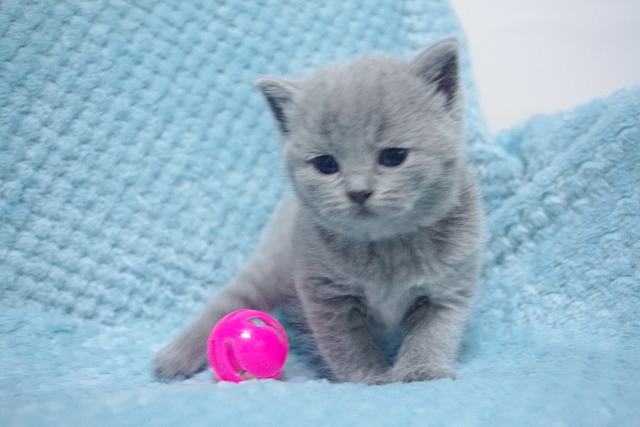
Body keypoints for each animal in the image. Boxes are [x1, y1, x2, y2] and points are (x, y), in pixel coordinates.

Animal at [152, 38, 483, 384]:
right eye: (326, 164)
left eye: (394, 156)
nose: (359, 192)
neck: (386, 248)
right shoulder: (327, 297)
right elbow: (348, 345)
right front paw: (369, 377)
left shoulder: (448, 288)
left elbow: (433, 333)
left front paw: (422, 372)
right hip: (270, 268)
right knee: (229, 301)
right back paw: (174, 359)